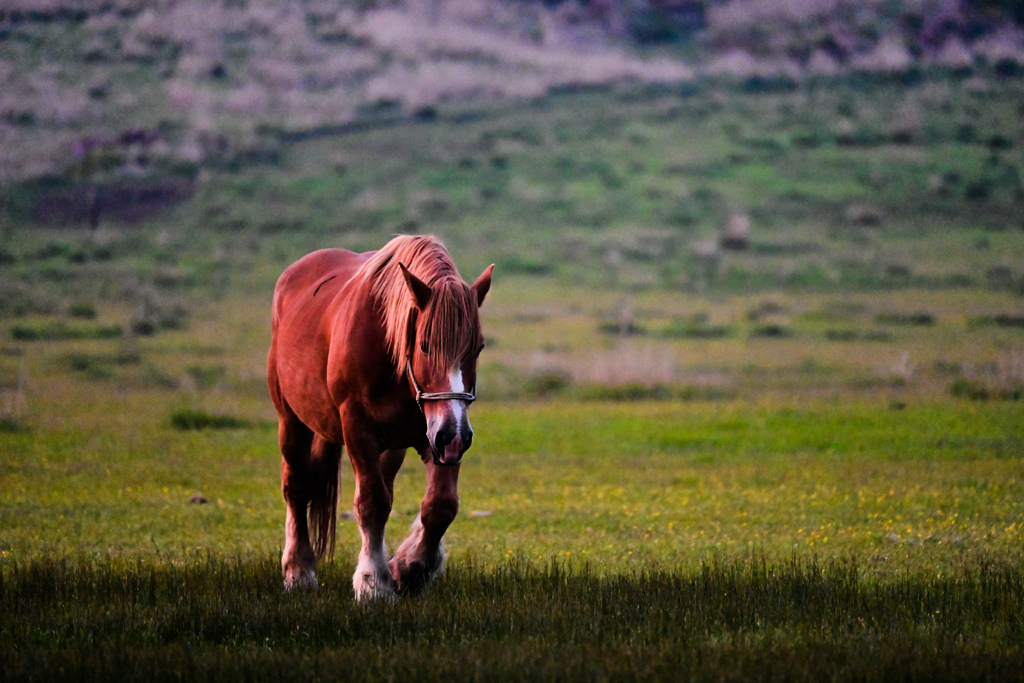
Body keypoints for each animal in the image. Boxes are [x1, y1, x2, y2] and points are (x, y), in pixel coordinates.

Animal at [266, 233, 493, 598]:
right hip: (291, 420)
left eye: (478, 348)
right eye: (425, 345)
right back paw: (298, 571)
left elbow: (440, 506)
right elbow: (371, 503)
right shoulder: (360, 429)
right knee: (296, 487)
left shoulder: (438, 437)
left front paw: (409, 568)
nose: (454, 435)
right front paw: (372, 582)